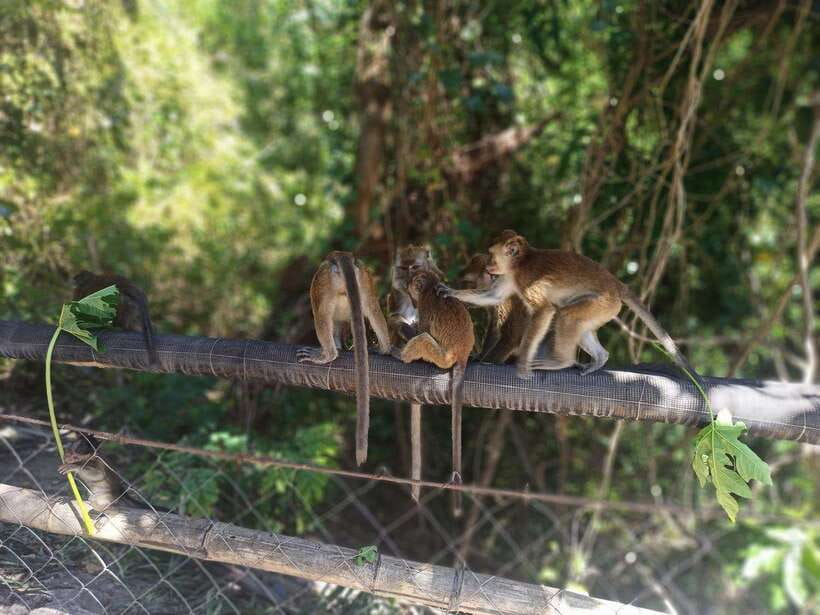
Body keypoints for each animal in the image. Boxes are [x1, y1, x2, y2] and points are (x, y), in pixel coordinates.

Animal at [297, 251, 392, 466]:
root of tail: (343, 255)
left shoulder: (321, 284)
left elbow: (325, 315)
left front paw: (335, 348)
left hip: (324, 280)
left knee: (321, 313)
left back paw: (328, 355)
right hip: (364, 278)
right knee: (372, 307)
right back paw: (385, 348)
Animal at [396, 270, 475, 516]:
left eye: (412, 284)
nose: (406, 287)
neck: (430, 288)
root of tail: (463, 353)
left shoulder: (425, 306)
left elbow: (421, 330)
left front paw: (400, 323)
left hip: (442, 357)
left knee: (423, 339)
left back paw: (400, 354)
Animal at [437, 230, 701, 385]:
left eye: (492, 255)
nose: (490, 266)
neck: (520, 262)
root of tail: (616, 284)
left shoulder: (526, 279)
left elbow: (544, 310)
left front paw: (522, 363)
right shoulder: (509, 276)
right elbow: (493, 296)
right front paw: (451, 292)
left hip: (603, 303)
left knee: (566, 315)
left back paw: (561, 361)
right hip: (605, 308)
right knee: (576, 322)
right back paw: (600, 358)